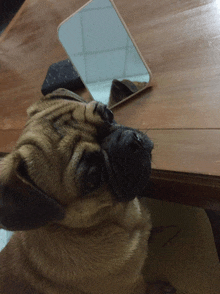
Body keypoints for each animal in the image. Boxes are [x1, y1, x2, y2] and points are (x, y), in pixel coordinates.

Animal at [0, 88, 175, 292]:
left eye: (108, 114)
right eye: (94, 177)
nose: (131, 141)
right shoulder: (132, 285)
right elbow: (147, 286)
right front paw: (161, 288)